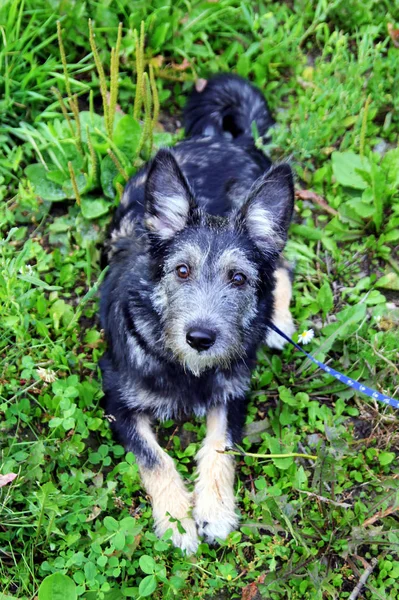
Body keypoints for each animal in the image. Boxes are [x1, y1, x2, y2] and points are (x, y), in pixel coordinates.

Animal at [99, 75, 296, 552]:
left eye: (238, 278)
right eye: (182, 270)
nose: (201, 338)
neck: (186, 368)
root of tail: (225, 139)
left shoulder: (233, 392)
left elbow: (219, 446)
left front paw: (215, 511)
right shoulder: (116, 400)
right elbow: (156, 458)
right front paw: (176, 522)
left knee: (283, 267)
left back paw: (279, 323)